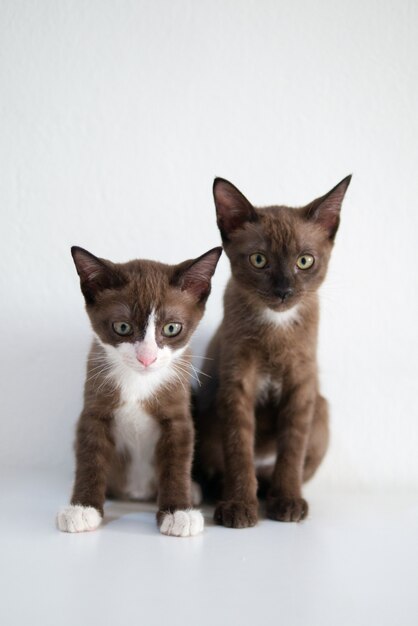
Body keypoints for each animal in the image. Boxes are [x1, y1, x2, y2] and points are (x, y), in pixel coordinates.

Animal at [58, 244, 222, 536]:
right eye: (122, 327)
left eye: (171, 328)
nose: (147, 358)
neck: (138, 382)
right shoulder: (94, 408)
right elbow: (90, 456)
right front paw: (83, 508)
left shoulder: (178, 414)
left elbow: (177, 461)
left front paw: (178, 512)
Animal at [194, 176, 352, 528]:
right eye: (259, 260)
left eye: (304, 261)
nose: (284, 291)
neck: (276, 327)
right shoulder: (237, 384)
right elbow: (239, 449)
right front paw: (239, 505)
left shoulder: (301, 386)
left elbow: (292, 449)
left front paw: (287, 501)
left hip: (321, 410)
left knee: (276, 470)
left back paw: (269, 493)